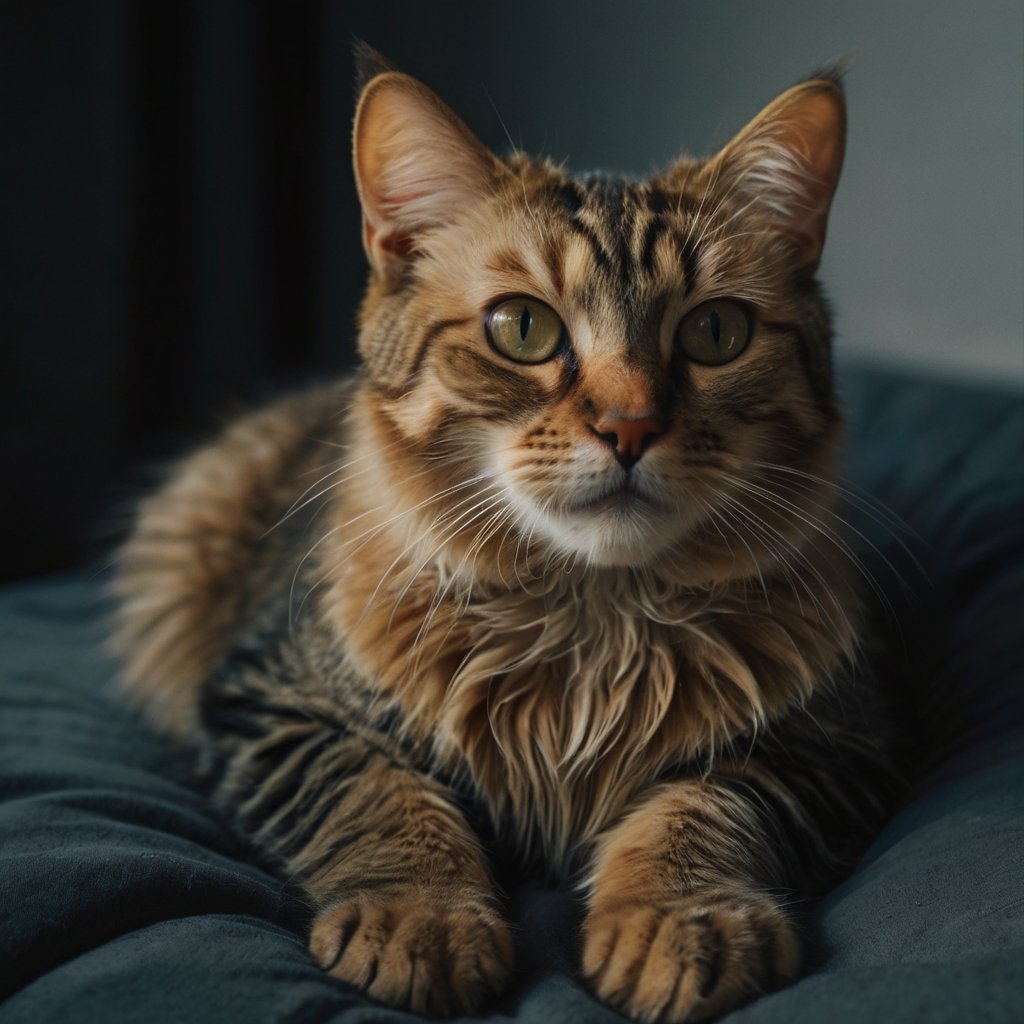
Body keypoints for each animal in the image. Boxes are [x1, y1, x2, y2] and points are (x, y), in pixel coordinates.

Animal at [116, 46, 905, 1024]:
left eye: (717, 331)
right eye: (522, 328)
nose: (631, 427)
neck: (591, 618)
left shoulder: (837, 744)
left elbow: (707, 810)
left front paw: (680, 919)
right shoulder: (269, 700)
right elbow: (379, 794)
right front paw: (422, 917)